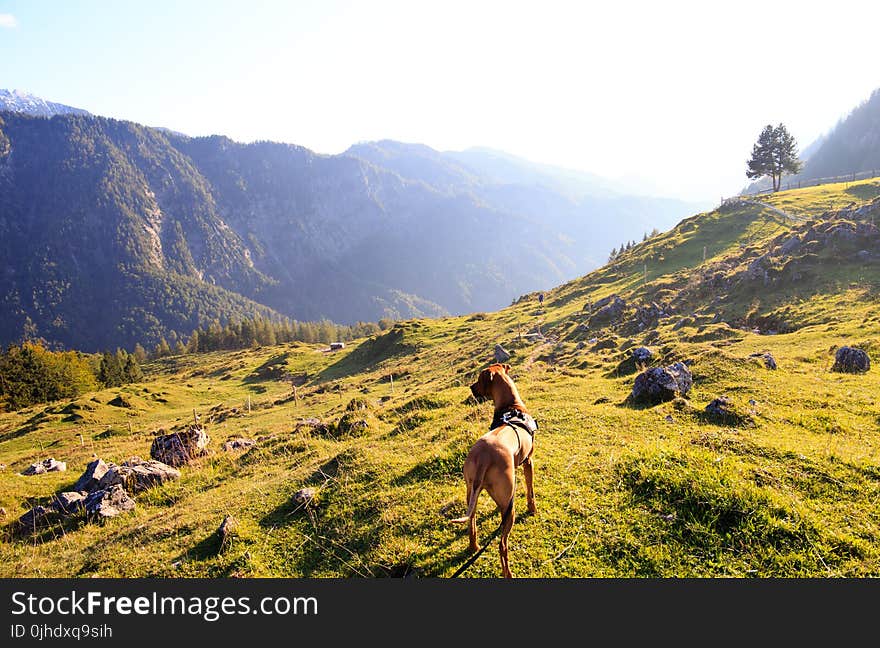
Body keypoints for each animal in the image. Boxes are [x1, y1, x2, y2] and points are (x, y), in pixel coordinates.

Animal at [454, 362, 536, 580]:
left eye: (478, 379)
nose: (470, 388)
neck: (511, 407)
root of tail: (484, 457)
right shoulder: (528, 461)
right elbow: (531, 491)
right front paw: (533, 509)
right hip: (509, 504)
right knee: (502, 545)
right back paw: (508, 573)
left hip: (472, 492)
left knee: (472, 523)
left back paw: (473, 547)